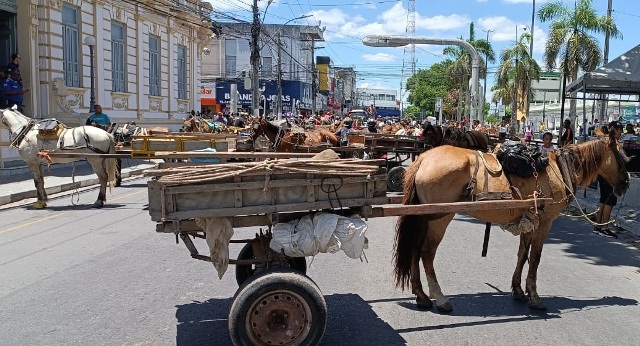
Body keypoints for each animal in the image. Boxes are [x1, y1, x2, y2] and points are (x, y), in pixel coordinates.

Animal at [392, 139, 628, 314]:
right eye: (624, 157)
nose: (625, 186)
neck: (559, 170)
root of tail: (423, 158)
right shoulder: (544, 224)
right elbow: (535, 258)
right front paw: (534, 297)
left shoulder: (530, 220)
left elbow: (522, 255)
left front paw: (518, 291)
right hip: (440, 218)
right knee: (426, 253)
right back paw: (440, 298)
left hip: (424, 217)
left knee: (414, 249)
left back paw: (421, 296)